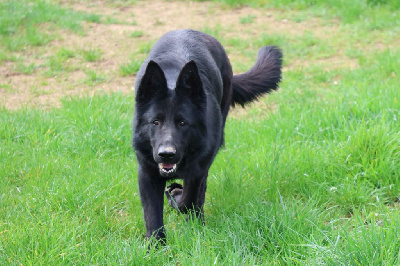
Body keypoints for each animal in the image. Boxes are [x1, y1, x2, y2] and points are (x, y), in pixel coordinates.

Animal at [132, 29, 282, 243]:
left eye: (183, 123)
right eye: (155, 122)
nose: (166, 154)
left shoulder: (199, 167)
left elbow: (188, 199)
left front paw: (176, 196)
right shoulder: (147, 173)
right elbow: (152, 213)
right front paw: (156, 244)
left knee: (199, 194)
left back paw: (196, 220)